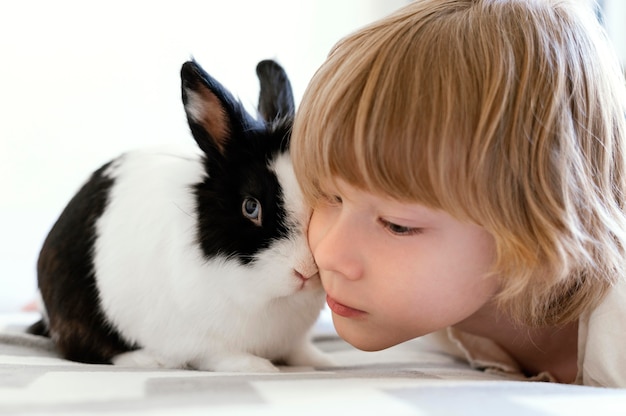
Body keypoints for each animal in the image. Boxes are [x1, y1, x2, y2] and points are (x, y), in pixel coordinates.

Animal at [28, 57, 332, 370]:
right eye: (251, 207)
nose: (305, 271)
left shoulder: (292, 341)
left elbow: (299, 351)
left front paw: (320, 361)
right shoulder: (201, 343)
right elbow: (221, 355)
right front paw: (258, 367)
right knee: (85, 350)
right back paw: (147, 360)